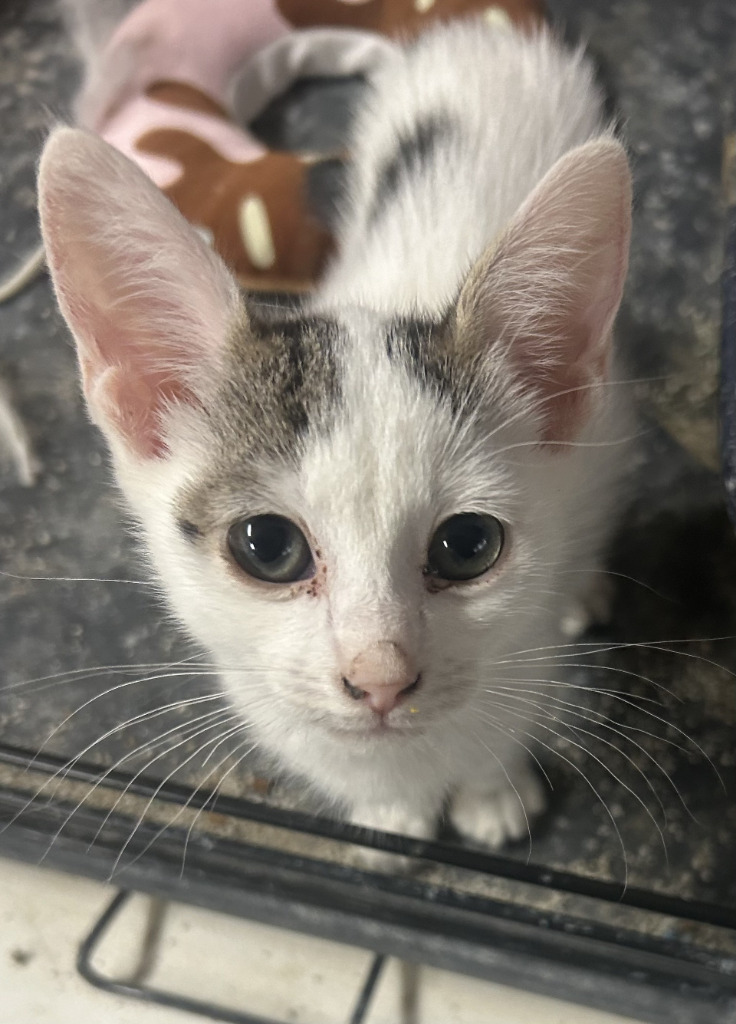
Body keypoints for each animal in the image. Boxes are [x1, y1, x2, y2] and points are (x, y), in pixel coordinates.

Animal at [36, 18, 634, 847]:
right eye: (267, 547)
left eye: (468, 544)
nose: (381, 678)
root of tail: (479, 39)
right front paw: (393, 811)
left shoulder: (526, 640)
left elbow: (499, 726)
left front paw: (491, 792)